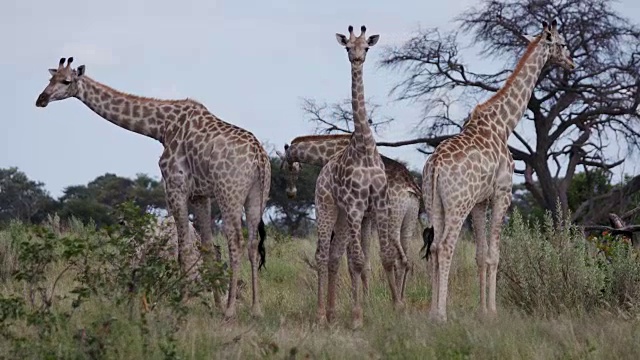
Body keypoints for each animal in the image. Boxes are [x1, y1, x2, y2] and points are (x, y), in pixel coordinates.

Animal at [35, 55, 272, 318]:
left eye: (66, 81)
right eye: (50, 79)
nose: (41, 99)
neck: (162, 126)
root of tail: (259, 157)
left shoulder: (175, 185)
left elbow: (184, 249)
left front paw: (185, 302)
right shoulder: (200, 194)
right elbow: (207, 248)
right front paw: (215, 304)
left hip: (229, 193)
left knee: (236, 242)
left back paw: (231, 311)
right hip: (257, 196)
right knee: (252, 244)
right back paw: (256, 309)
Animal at [274, 134, 424, 300]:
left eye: (293, 168)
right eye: (284, 169)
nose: (290, 193)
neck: (331, 151)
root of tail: (410, 187)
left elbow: (351, 264)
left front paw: (356, 298)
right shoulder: (366, 218)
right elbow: (365, 263)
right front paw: (366, 298)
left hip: (392, 219)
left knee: (399, 260)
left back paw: (397, 298)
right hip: (409, 219)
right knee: (406, 260)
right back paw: (401, 296)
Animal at [312, 25, 410, 330]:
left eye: (366, 46)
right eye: (347, 47)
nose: (356, 59)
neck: (365, 147)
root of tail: (321, 174)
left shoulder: (380, 203)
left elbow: (386, 258)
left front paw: (398, 307)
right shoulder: (356, 206)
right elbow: (356, 261)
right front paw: (357, 317)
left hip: (344, 218)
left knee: (333, 257)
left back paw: (332, 313)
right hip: (327, 208)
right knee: (322, 255)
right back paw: (321, 315)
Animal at [422, 18, 576, 322]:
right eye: (563, 43)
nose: (572, 63)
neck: (504, 123)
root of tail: (434, 166)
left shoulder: (480, 201)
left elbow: (480, 255)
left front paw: (482, 310)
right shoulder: (503, 193)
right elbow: (494, 255)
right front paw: (493, 311)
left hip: (434, 203)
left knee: (433, 247)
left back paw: (433, 312)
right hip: (457, 204)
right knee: (445, 247)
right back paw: (442, 315)